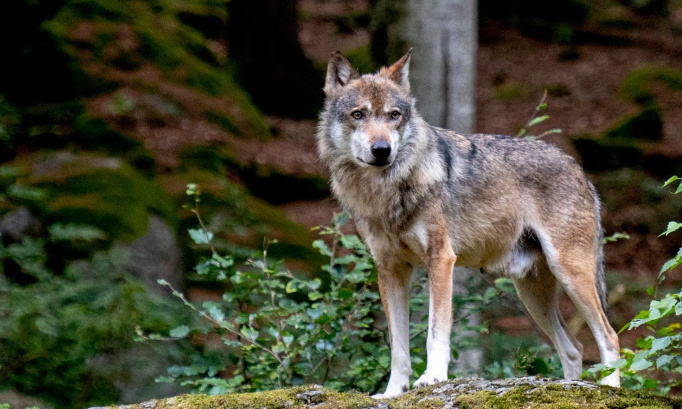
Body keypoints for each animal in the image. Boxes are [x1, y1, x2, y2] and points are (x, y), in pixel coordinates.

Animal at [316, 49, 620, 396]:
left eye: (394, 115)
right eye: (358, 115)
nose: (382, 150)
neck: (386, 191)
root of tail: (579, 168)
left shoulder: (441, 260)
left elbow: (436, 334)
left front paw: (433, 378)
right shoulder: (390, 270)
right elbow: (398, 349)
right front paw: (393, 392)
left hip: (570, 273)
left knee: (609, 336)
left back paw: (610, 386)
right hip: (532, 292)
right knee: (574, 349)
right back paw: (568, 387)